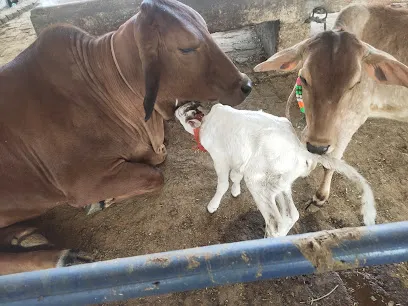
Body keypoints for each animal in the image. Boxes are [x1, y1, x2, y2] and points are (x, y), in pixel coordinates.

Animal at [0, 0, 252, 276]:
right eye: (186, 47)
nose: (246, 84)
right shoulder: (83, 183)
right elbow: (155, 176)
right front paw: (101, 201)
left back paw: (22, 236)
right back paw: (63, 257)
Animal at [174, 102, 374, 237]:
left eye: (184, 112)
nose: (175, 108)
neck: (207, 120)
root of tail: (300, 150)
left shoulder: (220, 158)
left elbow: (223, 183)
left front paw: (213, 206)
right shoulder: (239, 159)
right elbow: (236, 176)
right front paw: (236, 191)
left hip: (258, 181)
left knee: (275, 221)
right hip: (279, 183)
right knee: (291, 215)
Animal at [255, 3, 408, 210]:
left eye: (355, 83)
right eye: (303, 78)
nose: (317, 147)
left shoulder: (352, 120)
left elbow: (331, 162)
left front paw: (320, 196)